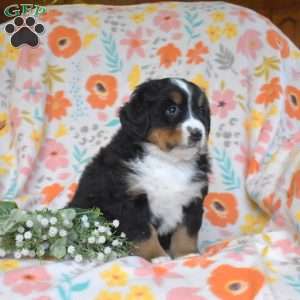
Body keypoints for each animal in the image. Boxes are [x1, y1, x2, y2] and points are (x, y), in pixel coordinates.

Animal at [69, 77, 211, 260]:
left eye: (200, 110)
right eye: (172, 109)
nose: (197, 133)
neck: (168, 161)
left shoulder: (192, 198)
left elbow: (186, 232)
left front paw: (187, 255)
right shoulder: (129, 201)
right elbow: (144, 233)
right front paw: (156, 256)